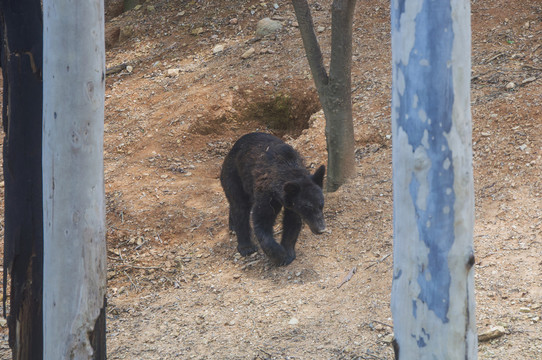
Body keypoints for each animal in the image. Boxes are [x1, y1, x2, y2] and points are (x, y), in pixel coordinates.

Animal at [221, 134, 328, 266]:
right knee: (239, 206)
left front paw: (288, 253)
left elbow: (292, 222)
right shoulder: (267, 195)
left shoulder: (292, 205)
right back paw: (246, 246)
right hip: (234, 175)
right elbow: (262, 220)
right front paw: (279, 255)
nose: (321, 229)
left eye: (321, 205)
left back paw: (232, 226)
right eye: (308, 207)